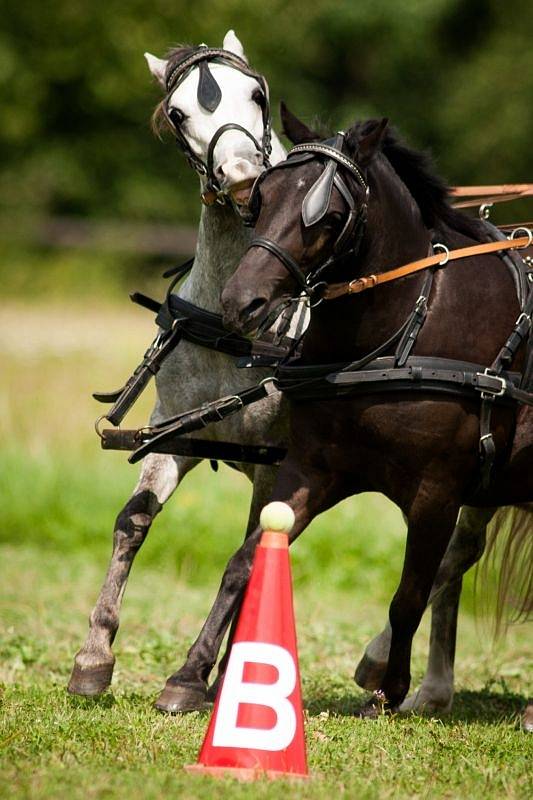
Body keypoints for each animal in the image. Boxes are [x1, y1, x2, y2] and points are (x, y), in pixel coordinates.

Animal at [217, 109, 532, 708]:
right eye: (261, 200)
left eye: (326, 215)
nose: (240, 302)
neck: (402, 331)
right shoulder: (312, 470)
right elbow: (244, 561)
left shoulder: (437, 492)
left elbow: (409, 594)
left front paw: (388, 690)